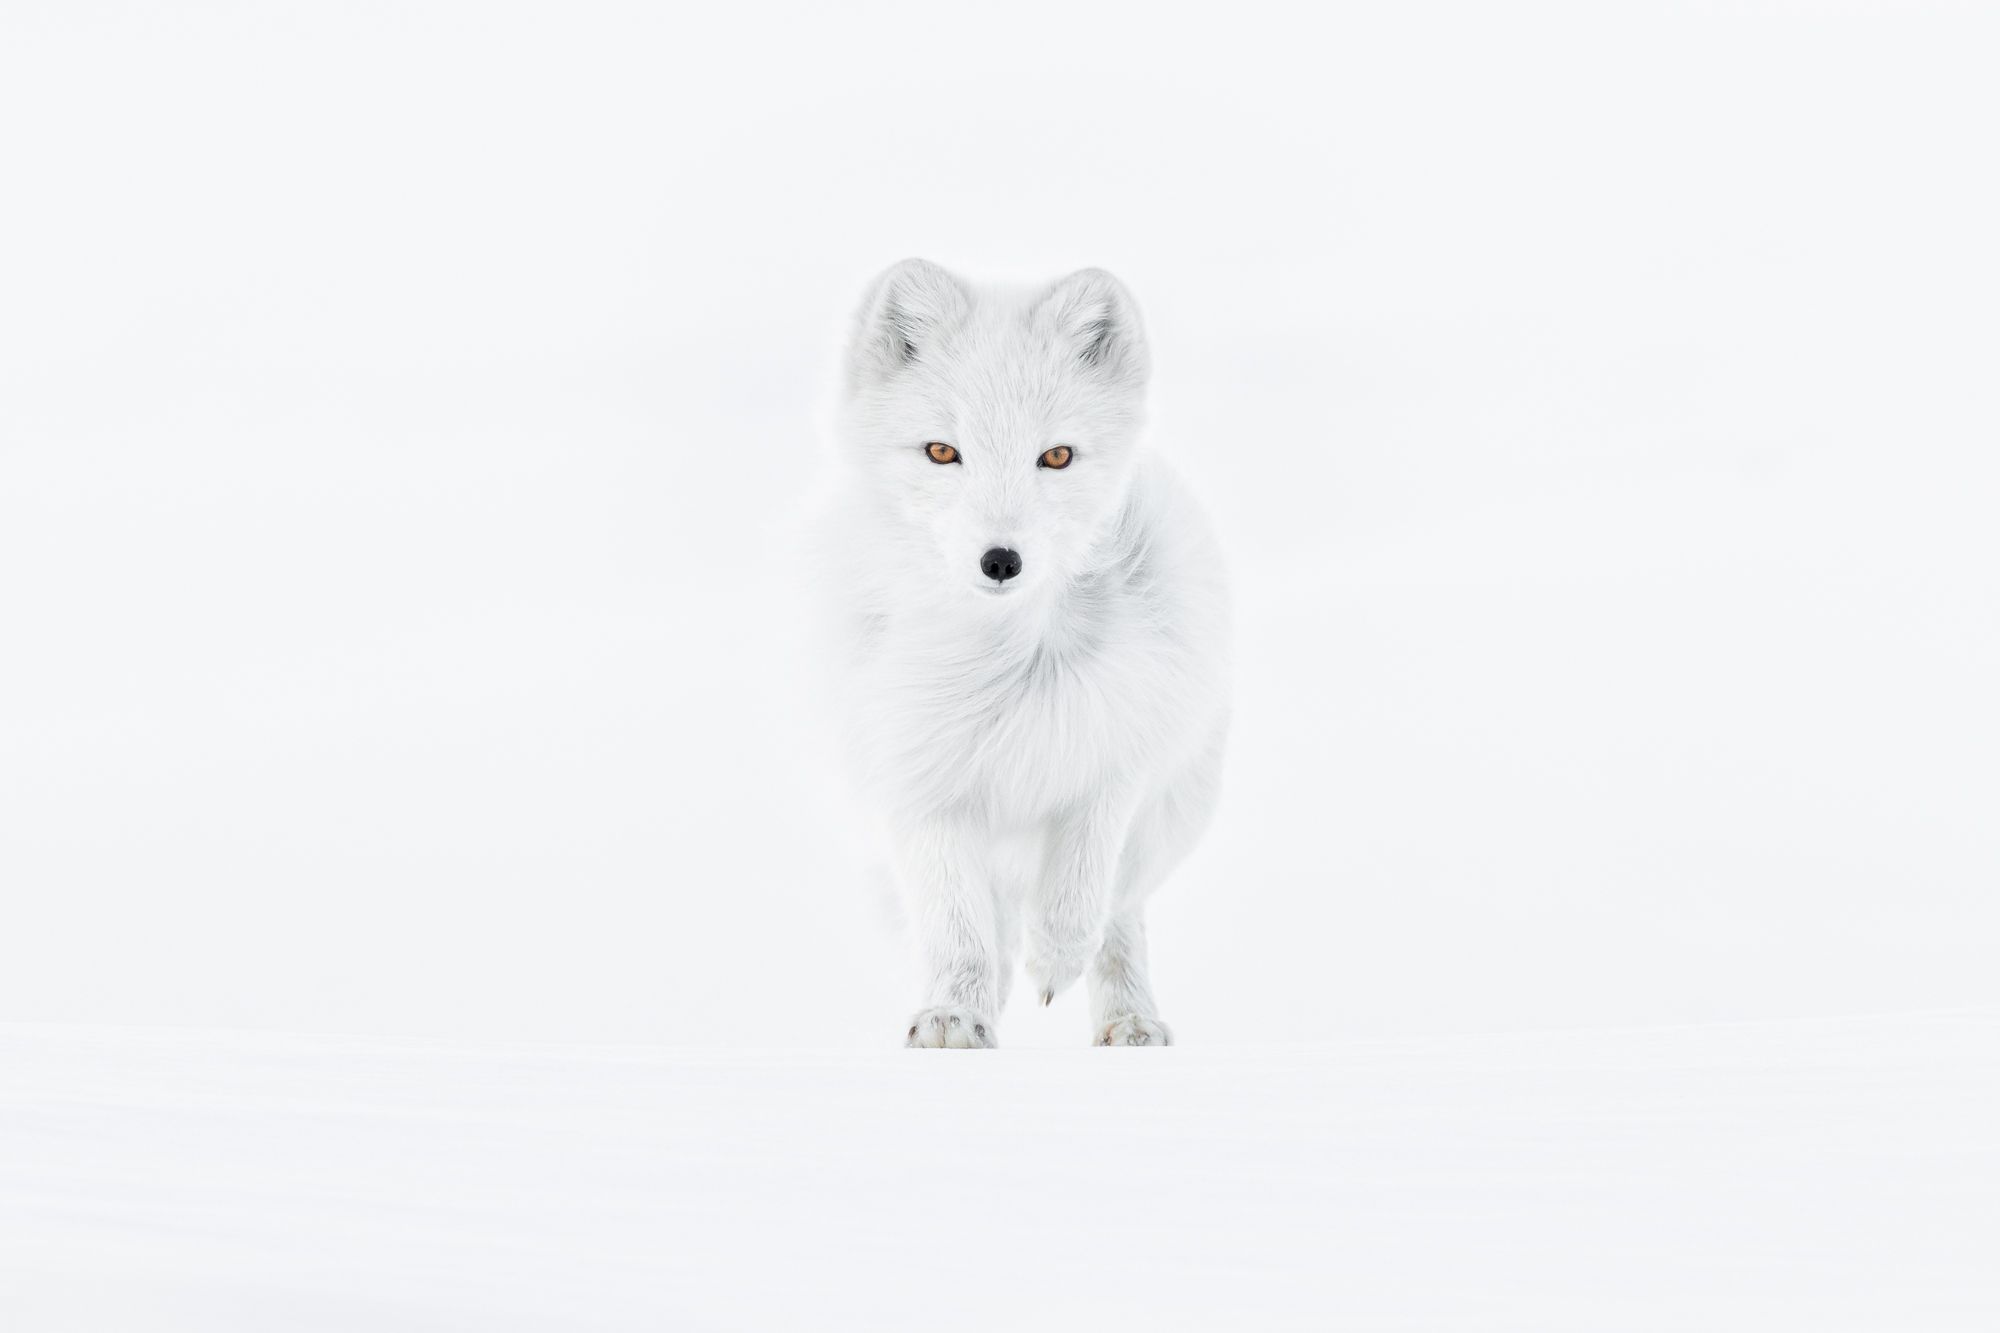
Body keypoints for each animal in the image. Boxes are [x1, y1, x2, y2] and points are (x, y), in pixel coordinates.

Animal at [821, 259, 1229, 1048]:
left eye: (1057, 456)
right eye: (942, 451)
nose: (1001, 560)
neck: (1003, 661)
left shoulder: (1114, 754)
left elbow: (1078, 890)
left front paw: (1056, 961)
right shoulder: (920, 781)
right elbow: (957, 927)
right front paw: (956, 1012)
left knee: (1118, 913)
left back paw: (1129, 1019)